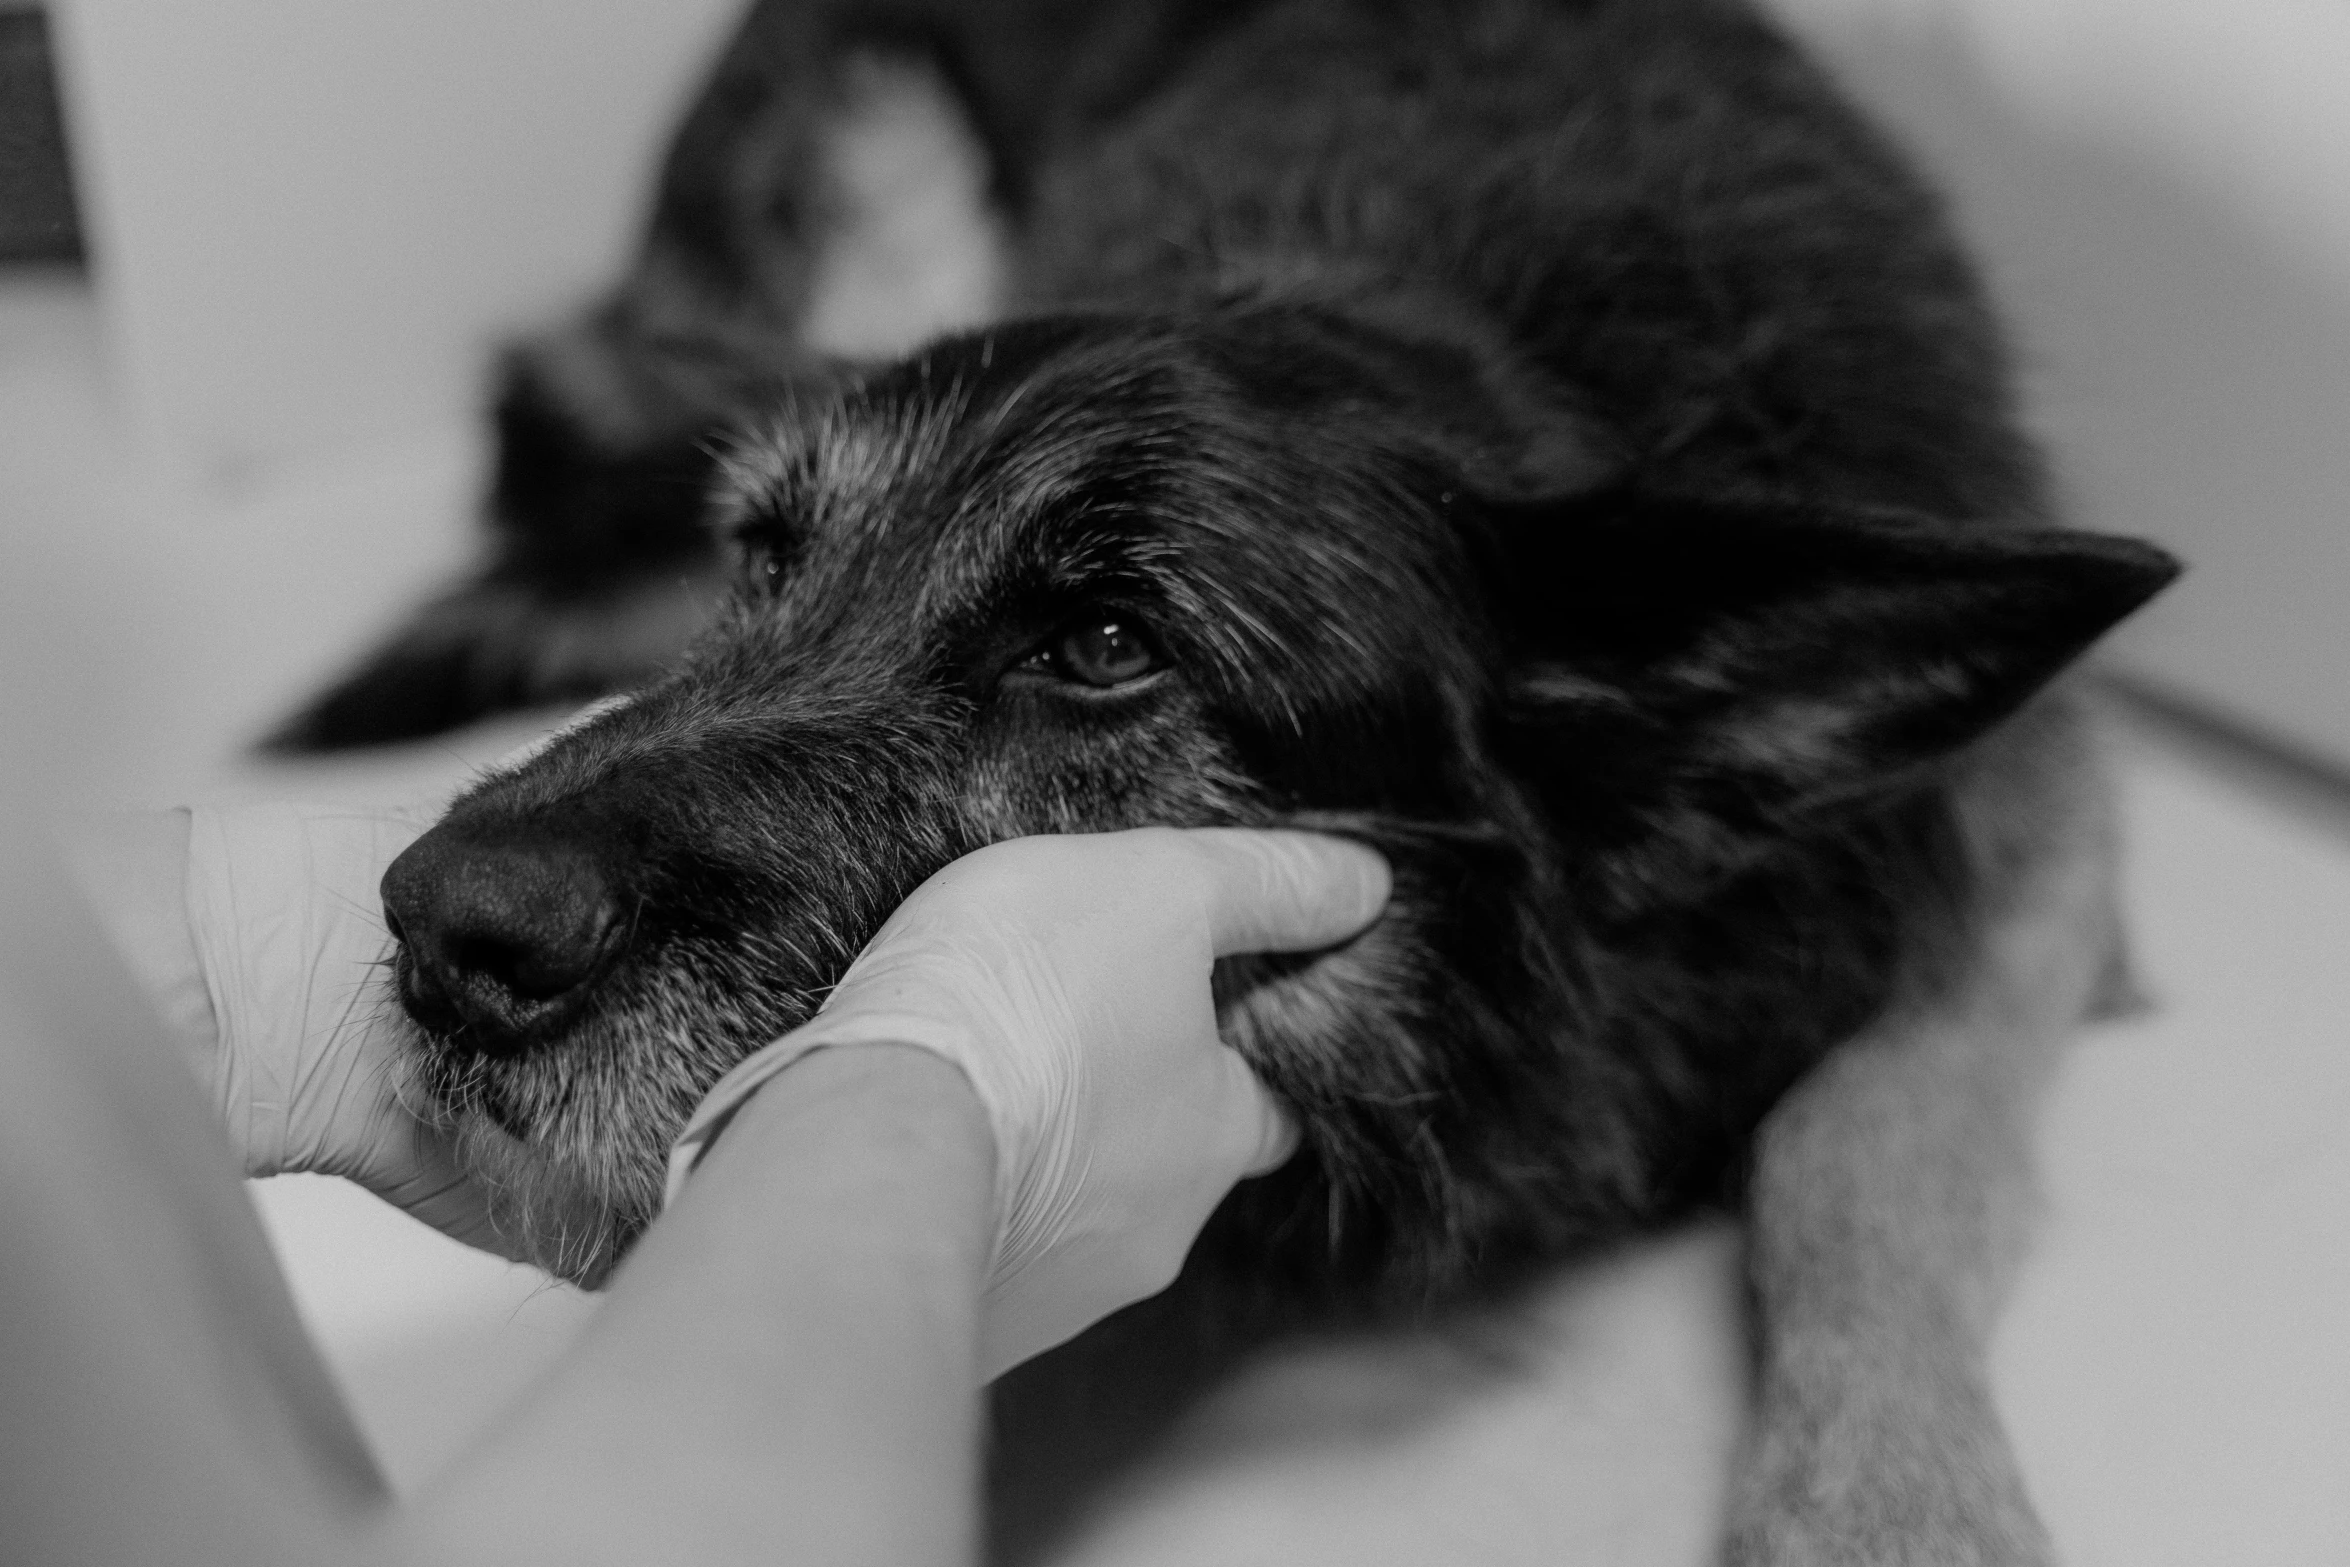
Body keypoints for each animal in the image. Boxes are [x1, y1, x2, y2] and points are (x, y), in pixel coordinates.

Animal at [289, 6, 2180, 1559]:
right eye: (765, 556)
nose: (442, 931)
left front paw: (1888, 1502)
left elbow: (1853, 1150)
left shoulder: (2028, 841)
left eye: (1106, 641)